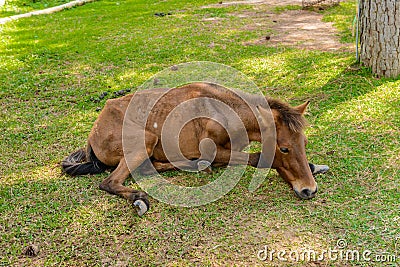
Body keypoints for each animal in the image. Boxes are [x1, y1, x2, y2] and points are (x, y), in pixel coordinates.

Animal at [61, 82, 328, 217]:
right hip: (144, 140)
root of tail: (93, 134)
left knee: (149, 167)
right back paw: (139, 199)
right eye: (284, 148)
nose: (308, 190)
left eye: (304, 143)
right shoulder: (214, 151)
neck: (224, 109)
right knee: (110, 181)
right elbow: (258, 158)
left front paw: (315, 166)